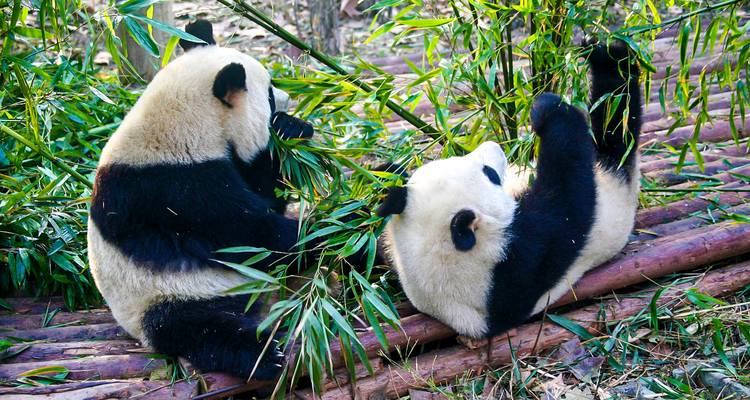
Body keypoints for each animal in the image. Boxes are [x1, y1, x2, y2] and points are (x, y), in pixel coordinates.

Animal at [88, 20, 320, 380]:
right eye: (268, 94)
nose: (288, 98)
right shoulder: (178, 190)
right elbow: (254, 236)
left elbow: (265, 197)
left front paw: (291, 128)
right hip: (165, 294)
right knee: (200, 328)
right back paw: (263, 355)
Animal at [377, 40, 642, 339]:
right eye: (490, 174)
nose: (494, 146)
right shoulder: (518, 263)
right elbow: (570, 198)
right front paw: (548, 110)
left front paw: (389, 173)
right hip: (615, 184)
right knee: (617, 123)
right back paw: (614, 59)